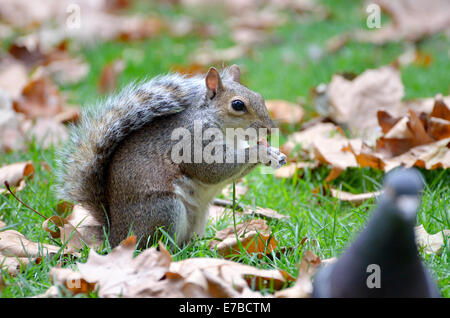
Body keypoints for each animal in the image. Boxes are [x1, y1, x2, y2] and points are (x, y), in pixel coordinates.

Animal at [56, 65, 286, 248]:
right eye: (238, 105)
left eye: (260, 97)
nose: (269, 129)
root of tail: (115, 236)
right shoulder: (193, 141)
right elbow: (213, 170)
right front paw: (260, 152)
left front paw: (276, 154)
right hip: (164, 209)